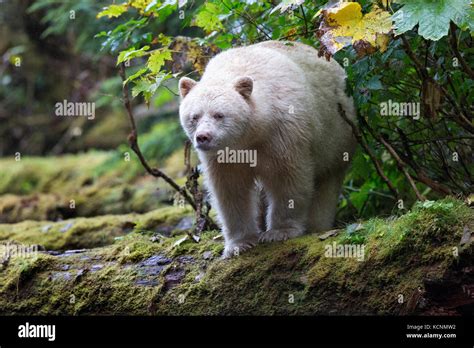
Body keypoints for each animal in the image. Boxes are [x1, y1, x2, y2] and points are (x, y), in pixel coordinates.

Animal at [178, 40, 356, 258]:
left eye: (219, 115)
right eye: (194, 117)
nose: (203, 137)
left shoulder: (283, 133)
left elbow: (287, 178)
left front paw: (279, 232)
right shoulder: (223, 156)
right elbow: (230, 190)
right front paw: (239, 243)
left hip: (337, 134)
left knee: (327, 181)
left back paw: (317, 225)